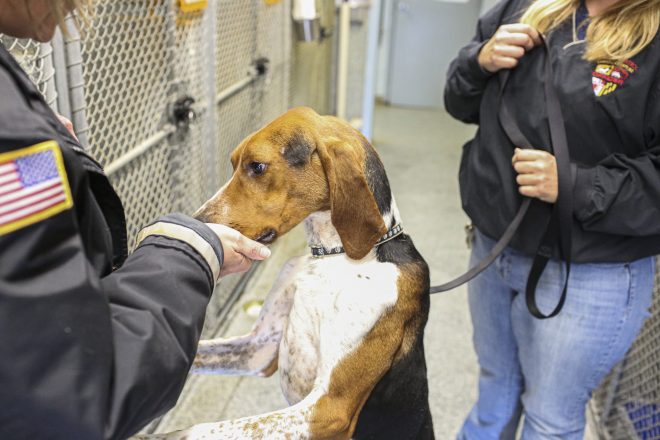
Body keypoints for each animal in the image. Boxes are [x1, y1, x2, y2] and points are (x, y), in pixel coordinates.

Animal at [141, 106, 434, 440]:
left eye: (257, 166)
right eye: (233, 164)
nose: (197, 222)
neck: (333, 257)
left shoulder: (328, 408)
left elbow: (202, 429)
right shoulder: (260, 349)